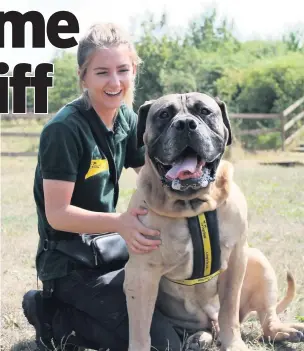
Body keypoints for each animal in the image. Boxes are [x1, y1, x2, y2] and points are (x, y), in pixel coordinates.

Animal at [123, 93, 302, 351]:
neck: (192, 206)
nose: (185, 124)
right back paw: (200, 337)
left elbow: (229, 311)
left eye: (204, 111)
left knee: (266, 321)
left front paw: (234, 344)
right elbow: (139, 328)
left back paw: (284, 331)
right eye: (164, 114)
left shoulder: (236, 260)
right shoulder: (141, 273)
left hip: (258, 260)